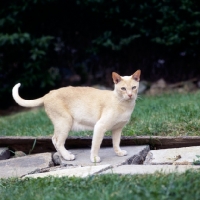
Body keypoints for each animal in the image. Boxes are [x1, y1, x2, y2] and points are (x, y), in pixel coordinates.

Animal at [12, 70, 141, 162]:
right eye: (123, 88)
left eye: (133, 88)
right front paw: (94, 159)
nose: (130, 95)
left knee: (54, 139)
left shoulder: (117, 129)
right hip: (65, 123)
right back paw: (67, 157)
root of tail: (48, 94)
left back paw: (64, 156)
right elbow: (96, 145)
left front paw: (118, 152)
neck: (125, 105)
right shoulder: (100, 127)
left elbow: (116, 143)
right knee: (57, 141)